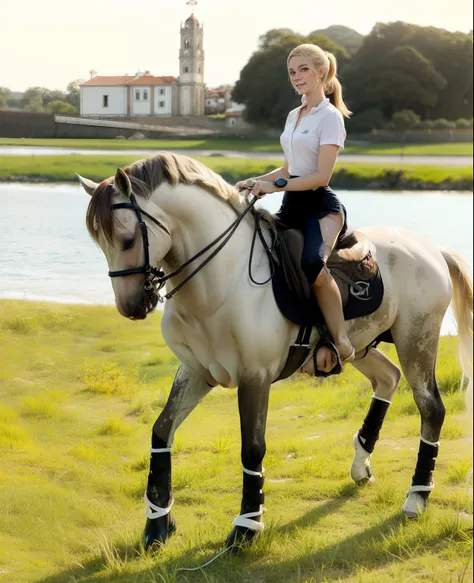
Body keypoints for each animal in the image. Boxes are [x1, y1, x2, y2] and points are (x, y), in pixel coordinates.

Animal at [78, 152, 474, 552]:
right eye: (100, 243)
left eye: (128, 239)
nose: (131, 306)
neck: (222, 279)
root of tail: (431, 249)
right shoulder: (195, 371)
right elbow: (161, 432)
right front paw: (158, 523)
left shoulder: (256, 376)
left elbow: (252, 449)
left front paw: (246, 528)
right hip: (362, 347)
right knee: (388, 378)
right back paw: (361, 463)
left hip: (416, 341)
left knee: (431, 408)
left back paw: (417, 496)